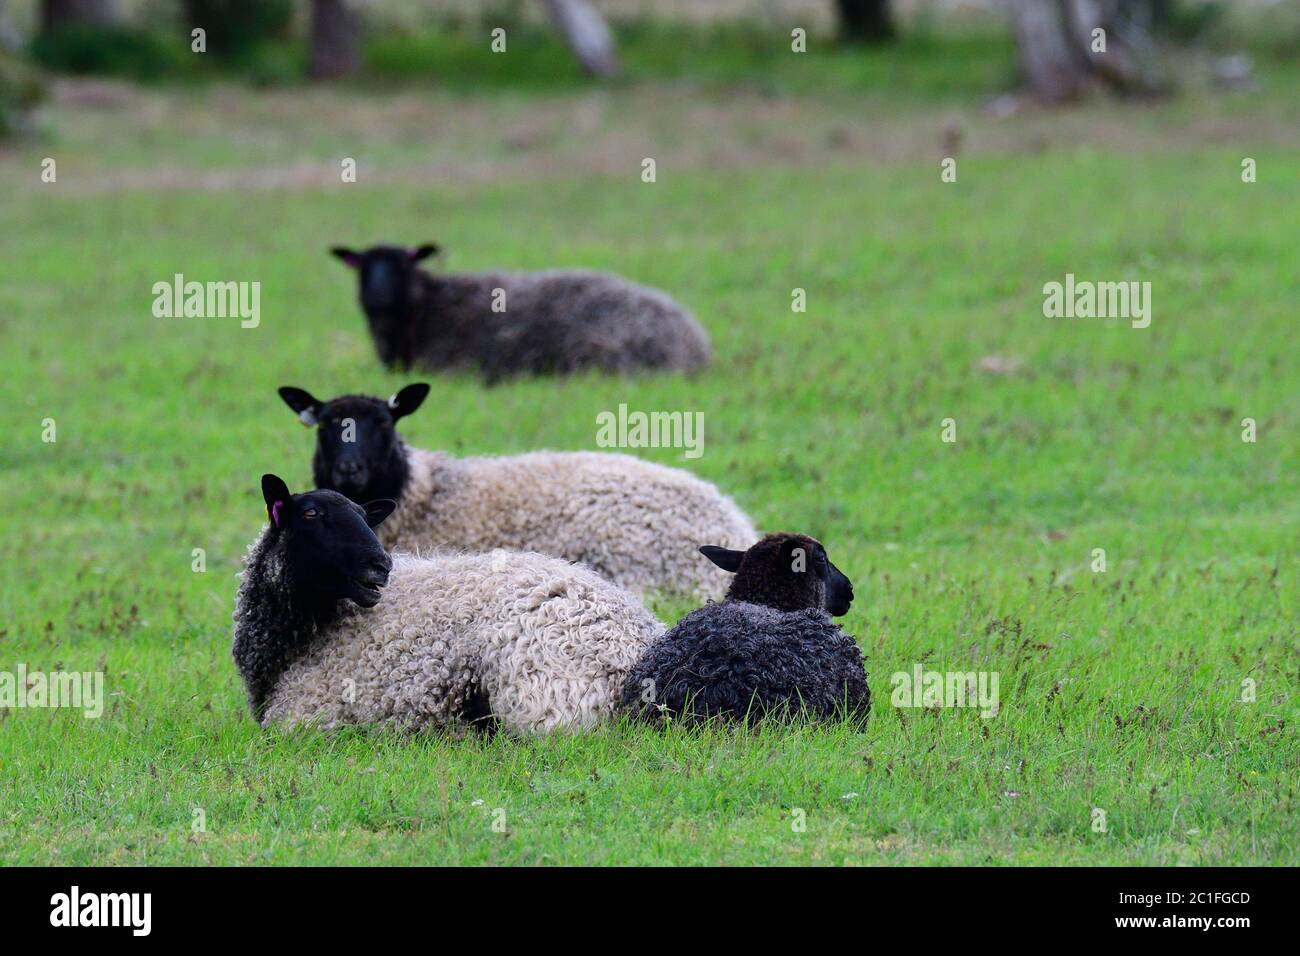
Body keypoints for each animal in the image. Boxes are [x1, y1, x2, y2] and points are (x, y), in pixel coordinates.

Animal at [232, 474, 665, 735]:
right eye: (311, 513)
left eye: (364, 517)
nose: (380, 565)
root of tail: (640, 646)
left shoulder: (303, 717)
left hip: (539, 690)